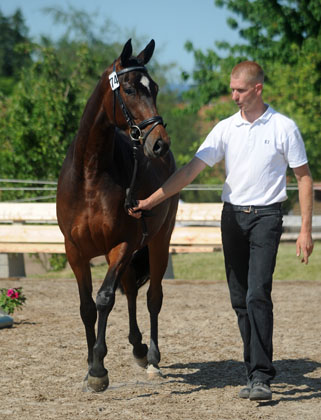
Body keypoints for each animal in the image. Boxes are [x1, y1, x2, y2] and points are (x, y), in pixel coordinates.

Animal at [56, 37, 179, 392]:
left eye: (155, 88)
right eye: (129, 88)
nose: (159, 144)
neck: (90, 174)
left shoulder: (121, 245)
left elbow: (105, 299)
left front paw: (99, 368)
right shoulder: (75, 251)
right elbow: (87, 307)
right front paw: (89, 367)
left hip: (158, 242)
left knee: (152, 296)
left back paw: (151, 357)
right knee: (133, 292)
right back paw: (137, 347)